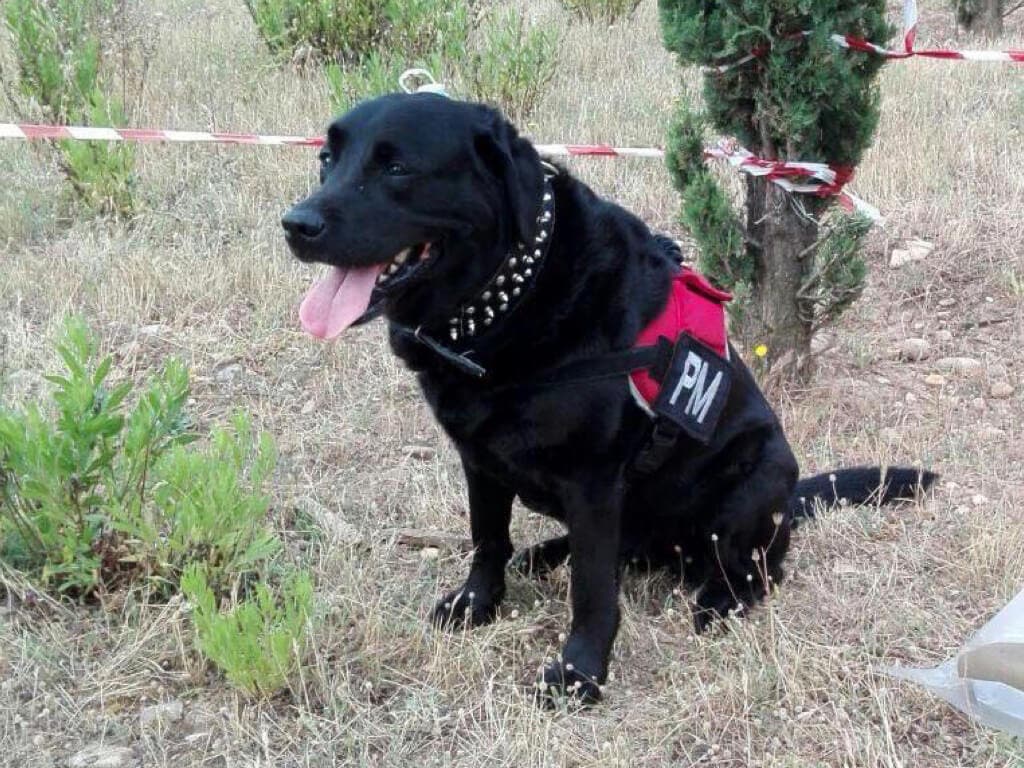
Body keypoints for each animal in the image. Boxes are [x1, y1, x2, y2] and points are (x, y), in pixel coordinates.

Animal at [282, 93, 937, 708]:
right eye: (326, 160)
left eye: (396, 168)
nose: (296, 224)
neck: (511, 300)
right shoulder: (478, 460)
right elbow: (488, 540)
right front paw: (477, 605)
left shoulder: (592, 480)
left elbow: (593, 589)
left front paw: (579, 673)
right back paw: (544, 554)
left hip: (760, 475)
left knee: (754, 568)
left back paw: (720, 600)